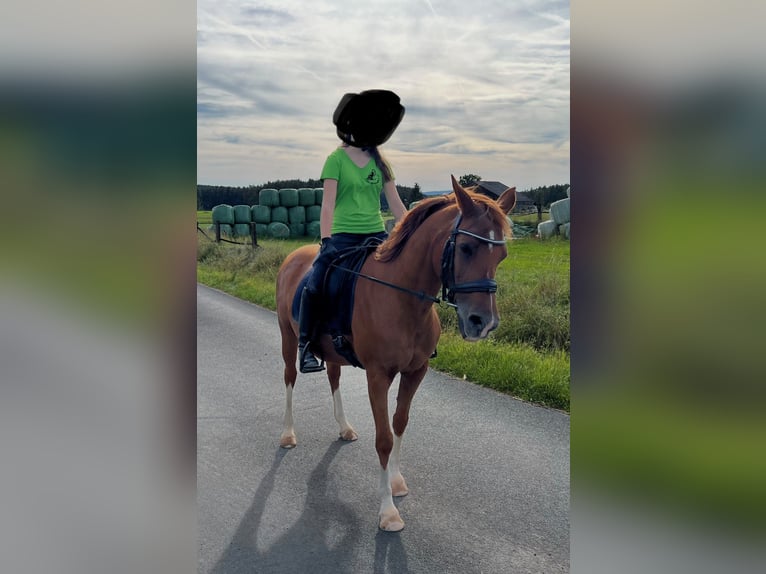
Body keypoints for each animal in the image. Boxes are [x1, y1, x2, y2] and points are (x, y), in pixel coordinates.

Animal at [275, 175, 516, 531]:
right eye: (466, 247)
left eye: (502, 256)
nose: (483, 324)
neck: (403, 299)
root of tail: (293, 257)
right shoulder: (378, 376)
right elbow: (384, 438)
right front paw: (388, 511)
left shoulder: (416, 372)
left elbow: (400, 423)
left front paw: (397, 481)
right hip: (288, 338)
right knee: (290, 377)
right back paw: (288, 434)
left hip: (331, 352)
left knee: (333, 377)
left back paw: (344, 427)